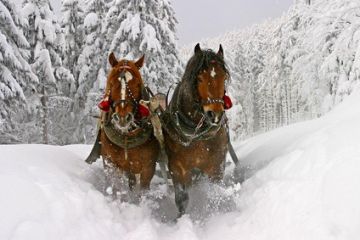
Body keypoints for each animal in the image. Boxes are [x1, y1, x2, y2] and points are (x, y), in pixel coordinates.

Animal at [86, 52, 160, 193]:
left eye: (137, 84)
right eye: (112, 82)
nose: (122, 117)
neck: (126, 136)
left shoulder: (148, 168)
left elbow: (143, 190)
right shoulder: (110, 163)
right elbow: (114, 186)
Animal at [161, 43, 229, 216]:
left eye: (224, 78)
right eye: (199, 78)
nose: (215, 114)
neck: (197, 135)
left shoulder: (216, 166)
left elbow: (214, 193)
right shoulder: (178, 169)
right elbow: (182, 199)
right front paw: (182, 219)